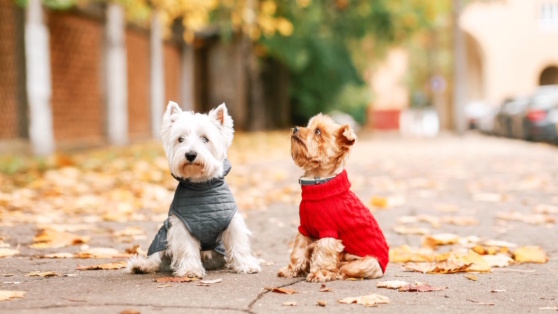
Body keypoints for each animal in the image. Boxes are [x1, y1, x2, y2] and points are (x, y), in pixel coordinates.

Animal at [129, 101, 262, 278]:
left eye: (205, 139)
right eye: (180, 139)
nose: (190, 154)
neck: (201, 187)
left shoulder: (232, 221)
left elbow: (238, 243)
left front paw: (247, 265)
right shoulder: (180, 226)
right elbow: (187, 248)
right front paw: (190, 270)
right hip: (162, 235)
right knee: (155, 257)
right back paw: (141, 265)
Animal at [278, 113, 390, 282]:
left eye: (318, 131)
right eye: (308, 125)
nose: (296, 128)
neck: (318, 183)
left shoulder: (329, 232)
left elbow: (323, 254)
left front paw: (318, 273)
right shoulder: (304, 229)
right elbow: (298, 250)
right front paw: (291, 270)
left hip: (366, 263)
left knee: (343, 268)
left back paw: (334, 272)